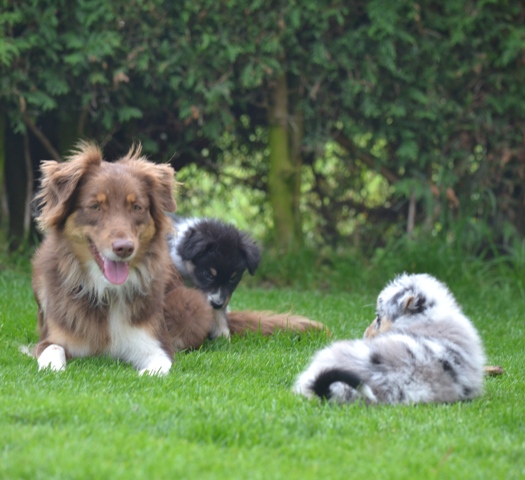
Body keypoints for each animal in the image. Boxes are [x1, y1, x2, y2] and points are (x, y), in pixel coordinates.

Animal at [31, 142, 324, 375]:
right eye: (94, 206)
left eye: (136, 207)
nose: (124, 248)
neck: (105, 293)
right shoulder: (51, 340)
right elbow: (51, 352)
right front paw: (52, 367)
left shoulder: (153, 343)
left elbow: (160, 365)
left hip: (191, 301)